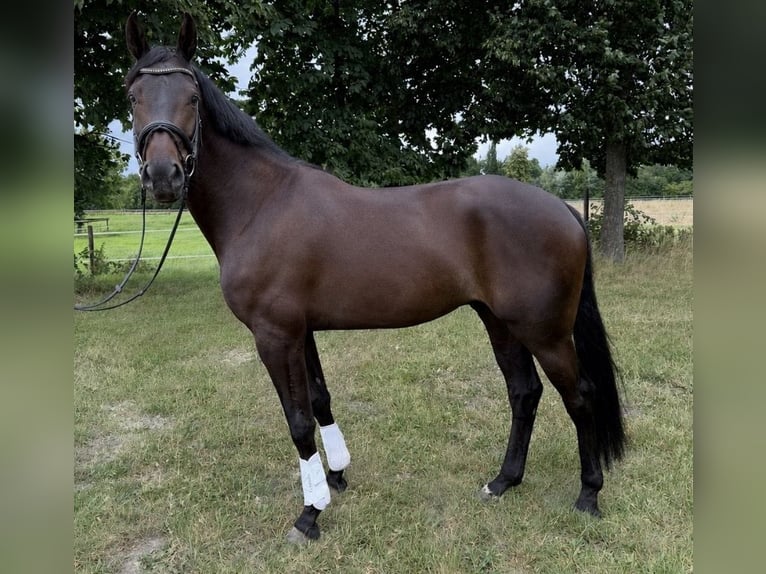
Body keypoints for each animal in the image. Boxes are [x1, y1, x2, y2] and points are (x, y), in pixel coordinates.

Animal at [123, 12, 625, 543]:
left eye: (192, 98)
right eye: (133, 96)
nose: (163, 176)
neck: (260, 204)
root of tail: (565, 211)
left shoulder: (274, 335)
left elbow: (298, 422)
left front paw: (310, 514)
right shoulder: (300, 331)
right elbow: (320, 400)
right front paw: (336, 477)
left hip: (545, 332)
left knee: (580, 397)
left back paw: (588, 494)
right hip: (500, 322)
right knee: (524, 393)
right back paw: (503, 481)